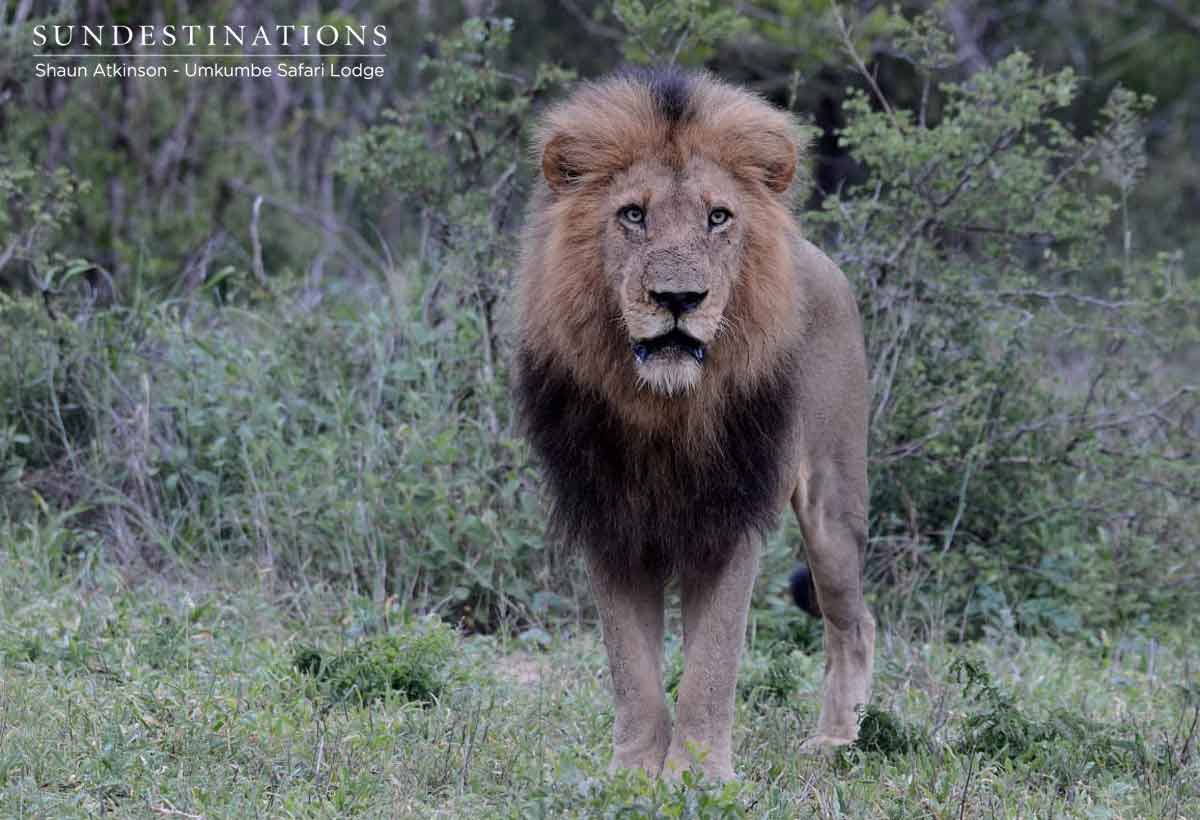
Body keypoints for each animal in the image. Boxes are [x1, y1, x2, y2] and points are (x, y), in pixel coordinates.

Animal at [513, 66, 875, 781]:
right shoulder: (609, 522)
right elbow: (633, 671)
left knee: (854, 621)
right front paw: (633, 775)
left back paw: (838, 739)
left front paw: (699, 776)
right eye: (633, 214)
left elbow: (712, 664)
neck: (664, 409)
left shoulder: (730, 519)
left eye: (718, 217)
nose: (679, 299)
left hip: (833, 503)